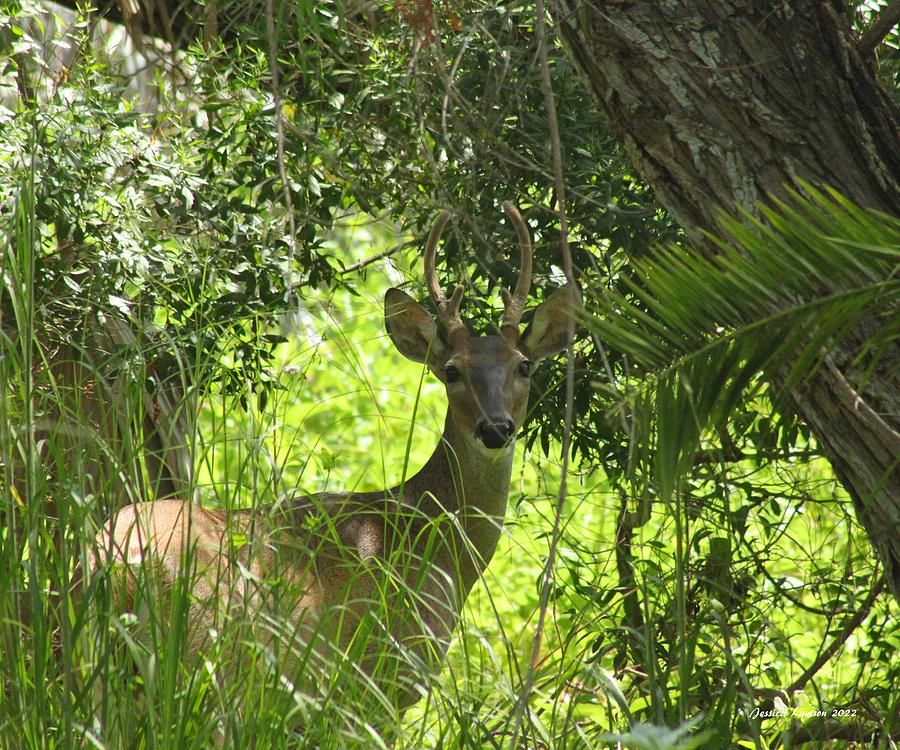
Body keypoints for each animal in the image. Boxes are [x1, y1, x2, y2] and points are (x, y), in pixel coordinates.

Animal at [88, 203, 580, 732]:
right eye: (452, 370)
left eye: (523, 364)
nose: (496, 429)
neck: (432, 541)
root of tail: (114, 563)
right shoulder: (375, 684)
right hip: (208, 663)